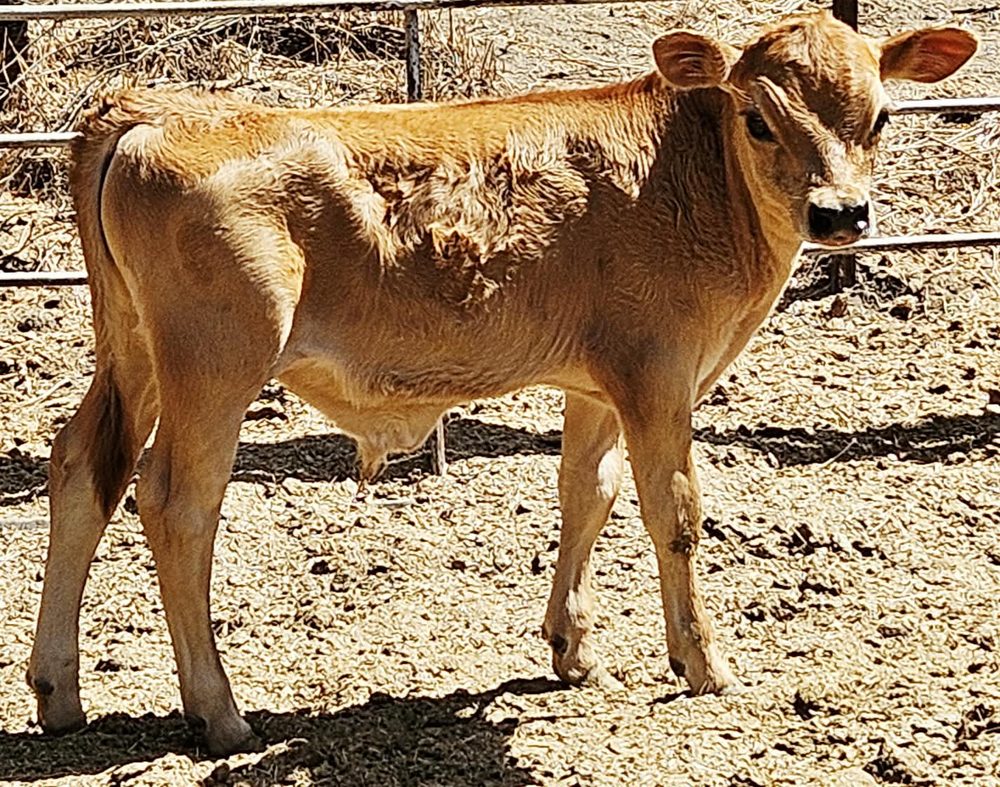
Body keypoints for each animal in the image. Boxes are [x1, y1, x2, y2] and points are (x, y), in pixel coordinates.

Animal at [27, 11, 975, 755]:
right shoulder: (659, 375)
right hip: (216, 367)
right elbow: (674, 512)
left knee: (82, 469)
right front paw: (703, 662)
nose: (841, 214)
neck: (690, 180)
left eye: (880, 116)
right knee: (176, 501)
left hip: (134, 355)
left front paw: (572, 647)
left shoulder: (597, 384)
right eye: (759, 119)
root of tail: (154, 109)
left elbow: (586, 494)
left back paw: (58, 691)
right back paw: (218, 711)